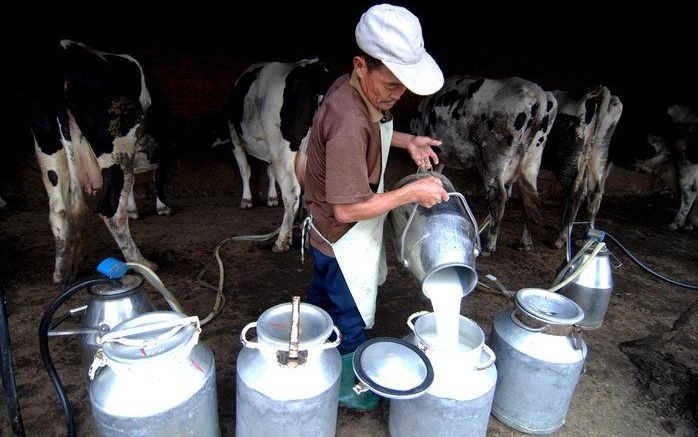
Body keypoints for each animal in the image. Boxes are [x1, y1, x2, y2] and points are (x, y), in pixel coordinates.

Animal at [21, 39, 166, 282]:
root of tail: (62, 53)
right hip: (116, 142)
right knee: (111, 208)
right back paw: (141, 263)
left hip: (47, 143)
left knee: (59, 208)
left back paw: (62, 271)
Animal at [224, 57, 330, 252]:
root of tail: (314, 69)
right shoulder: (269, 150)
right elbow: (269, 172)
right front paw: (272, 197)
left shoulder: (235, 140)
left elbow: (245, 170)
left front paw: (246, 200)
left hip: (282, 151)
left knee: (291, 192)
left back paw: (282, 241)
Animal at [410, 76, 556, 254]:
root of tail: (537, 91)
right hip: (532, 160)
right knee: (531, 198)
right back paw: (526, 242)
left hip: (493, 158)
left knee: (498, 196)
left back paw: (490, 245)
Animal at [544, 87, 620, 247]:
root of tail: (597, 92)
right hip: (598, 155)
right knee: (595, 193)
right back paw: (587, 236)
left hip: (568, 160)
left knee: (576, 194)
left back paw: (561, 237)